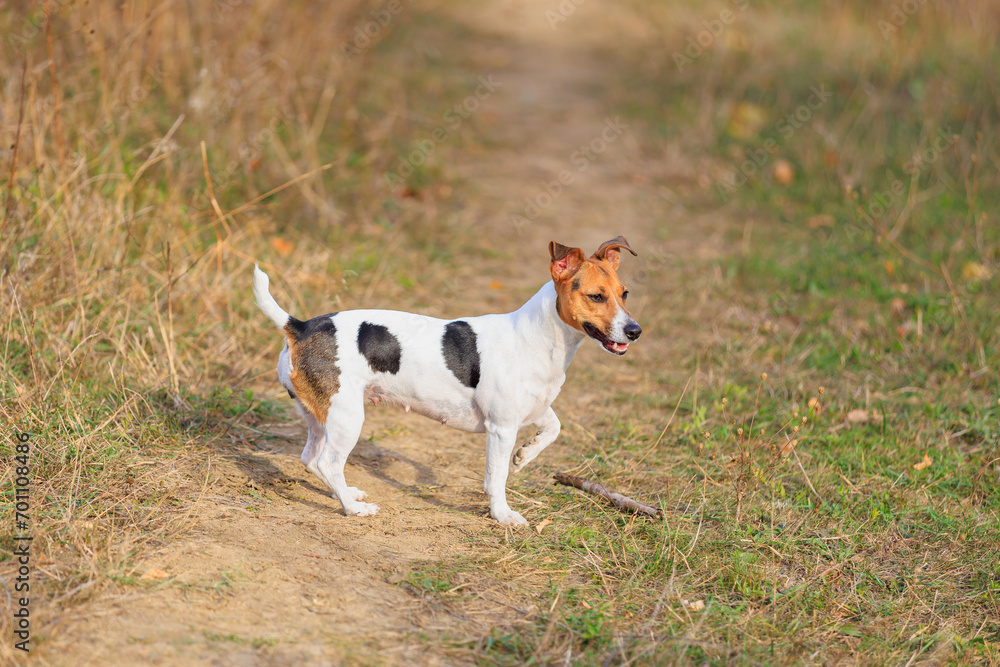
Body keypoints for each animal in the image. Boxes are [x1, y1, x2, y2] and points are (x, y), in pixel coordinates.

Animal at [252, 237, 640, 524]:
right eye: (595, 296)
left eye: (624, 294)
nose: (635, 331)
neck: (541, 338)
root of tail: (300, 326)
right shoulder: (501, 428)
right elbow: (497, 477)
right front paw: (502, 514)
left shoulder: (533, 410)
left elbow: (553, 429)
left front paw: (525, 456)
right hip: (347, 418)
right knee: (327, 462)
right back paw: (353, 508)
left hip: (322, 415)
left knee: (310, 458)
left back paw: (348, 494)